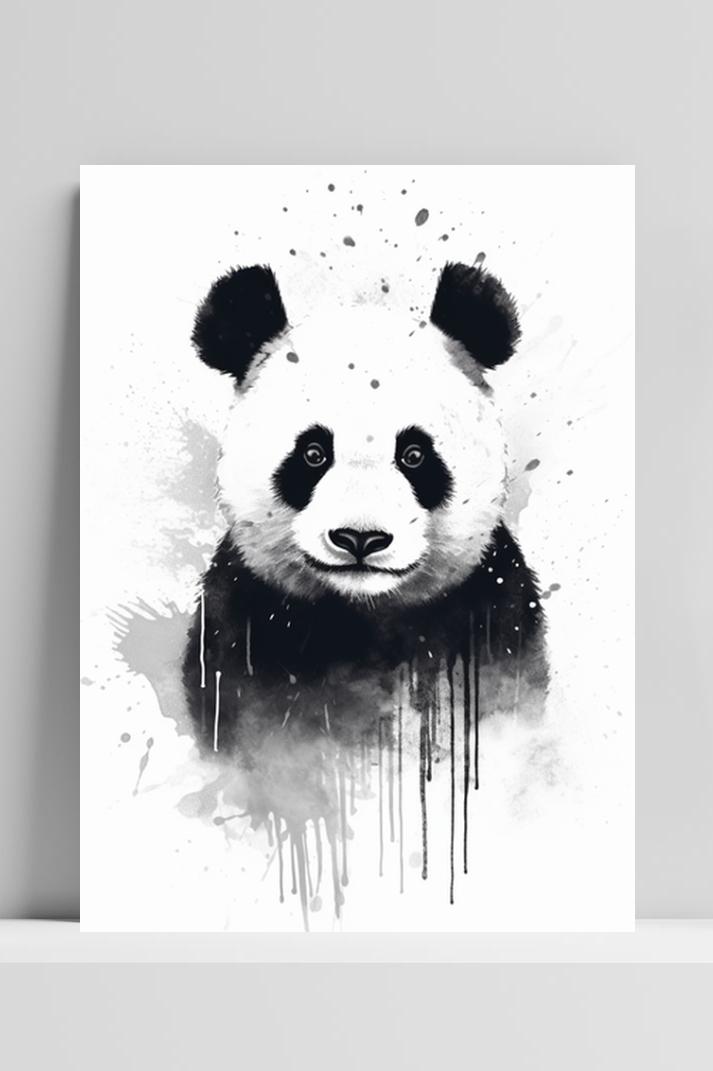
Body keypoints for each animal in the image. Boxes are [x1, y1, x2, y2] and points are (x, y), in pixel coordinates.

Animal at [182, 261, 548, 791]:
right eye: (313, 454)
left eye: (414, 455)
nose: (360, 538)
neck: (363, 613)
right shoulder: (243, 621)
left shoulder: (492, 613)